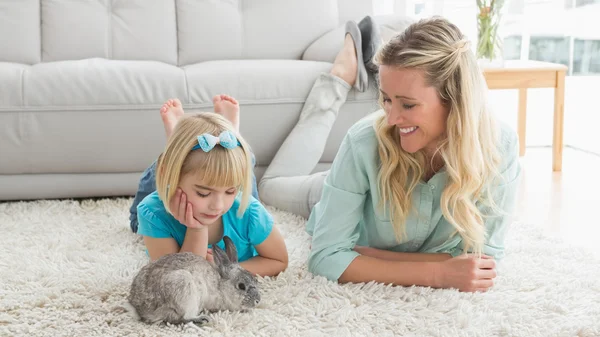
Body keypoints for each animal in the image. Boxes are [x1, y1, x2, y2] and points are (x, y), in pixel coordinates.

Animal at [125, 235, 258, 324]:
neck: (220, 285)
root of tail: (141, 310)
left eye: (256, 280)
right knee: (184, 318)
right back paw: (202, 319)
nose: (258, 301)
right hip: (185, 288)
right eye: (241, 286)